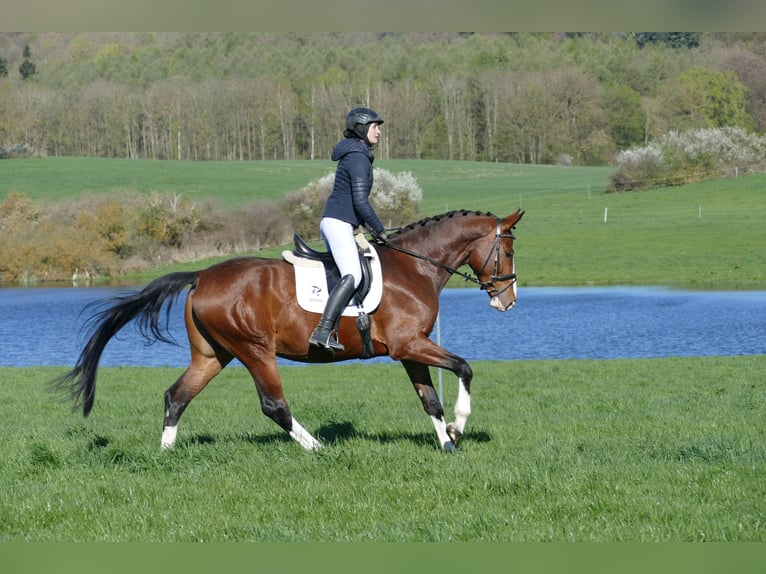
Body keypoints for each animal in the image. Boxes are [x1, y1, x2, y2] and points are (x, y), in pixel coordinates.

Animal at [54, 209, 524, 452]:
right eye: (508, 250)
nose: (508, 300)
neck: (415, 267)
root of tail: (201, 275)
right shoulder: (409, 344)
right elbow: (463, 368)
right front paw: (459, 428)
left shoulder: (412, 349)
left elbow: (430, 399)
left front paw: (448, 443)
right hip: (254, 349)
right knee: (273, 405)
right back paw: (316, 448)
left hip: (213, 354)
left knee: (177, 396)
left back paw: (166, 454)